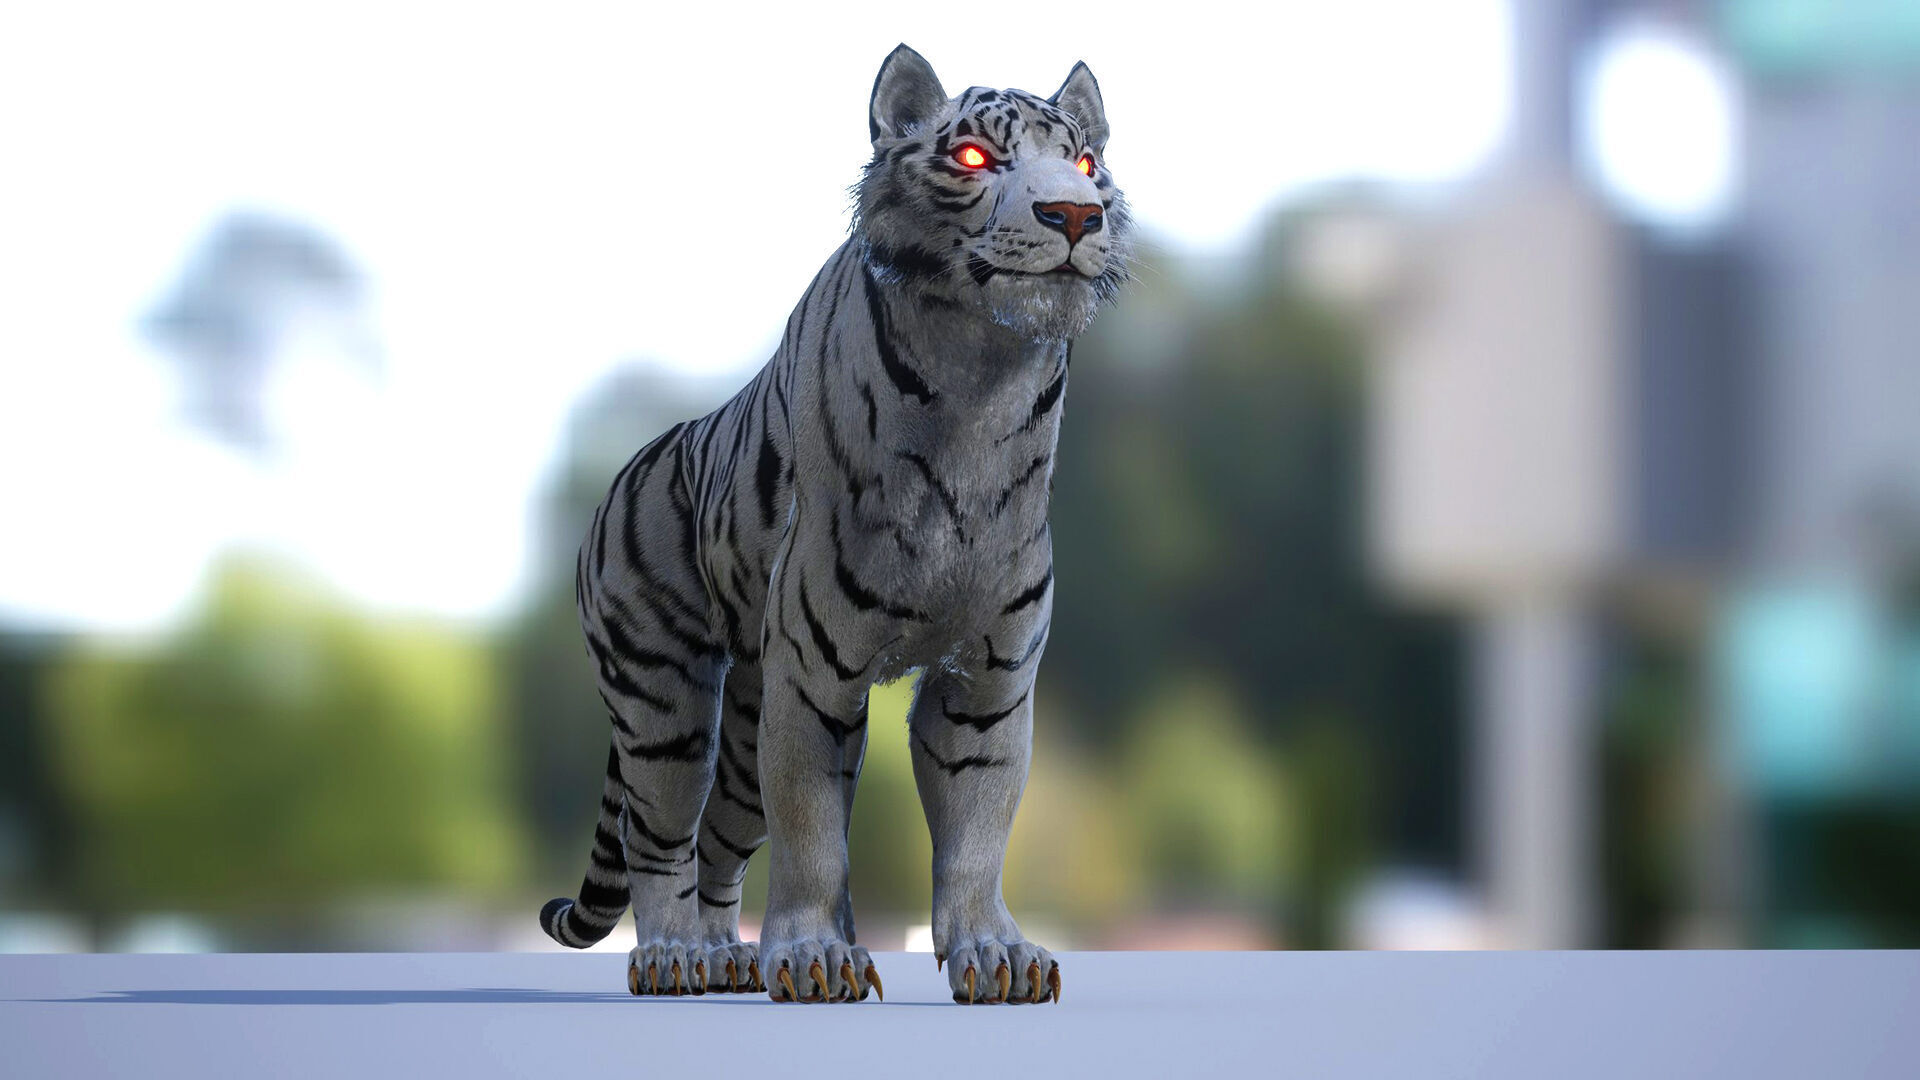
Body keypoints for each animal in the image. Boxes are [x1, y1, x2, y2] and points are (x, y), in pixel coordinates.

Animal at [538, 43, 1130, 1005]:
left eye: (1082, 162)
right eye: (976, 158)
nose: (1076, 213)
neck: (984, 386)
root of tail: (623, 475)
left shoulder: (990, 682)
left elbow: (978, 830)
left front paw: (994, 953)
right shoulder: (815, 675)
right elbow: (813, 826)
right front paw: (818, 954)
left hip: (746, 709)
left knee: (718, 844)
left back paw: (727, 958)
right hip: (665, 699)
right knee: (659, 837)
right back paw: (675, 957)